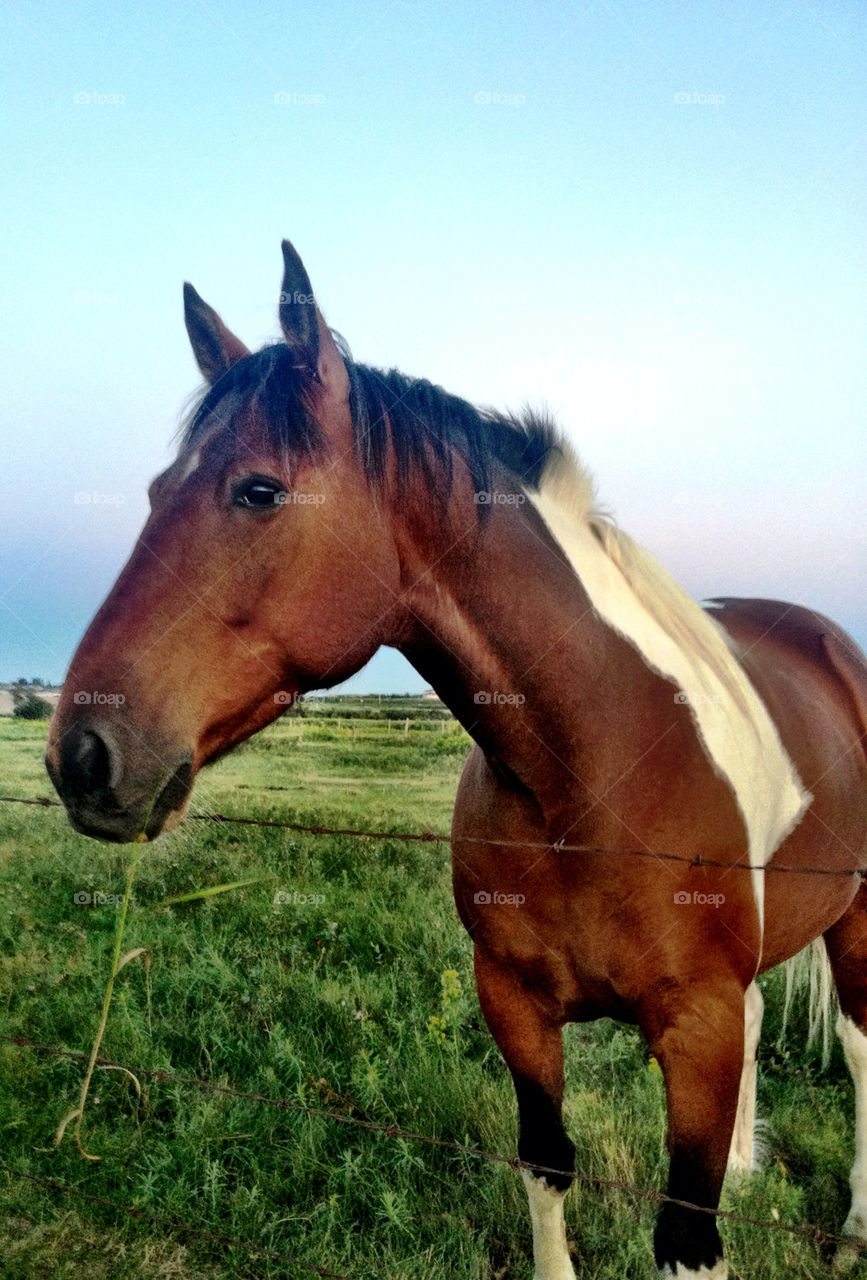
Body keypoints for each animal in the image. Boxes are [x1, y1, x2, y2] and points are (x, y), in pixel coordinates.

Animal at [46, 240, 867, 1280]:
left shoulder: (697, 1027)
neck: (589, 773)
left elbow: (686, 1236)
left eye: (259, 490)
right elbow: (546, 1167)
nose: (81, 754)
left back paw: (853, 1227)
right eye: (156, 492)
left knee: (858, 1048)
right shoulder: (515, 1006)